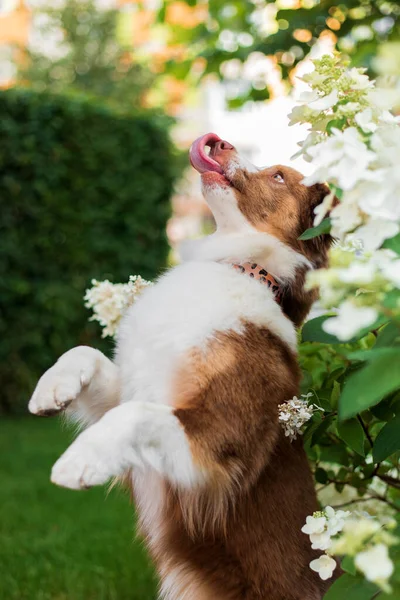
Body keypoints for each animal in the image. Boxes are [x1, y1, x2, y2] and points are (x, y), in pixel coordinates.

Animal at [28, 134, 334, 600]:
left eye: (279, 176)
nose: (218, 142)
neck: (243, 269)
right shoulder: (133, 382)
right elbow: (88, 357)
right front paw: (52, 387)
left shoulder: (215, 445)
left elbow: (135, 415)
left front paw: (79, 461)